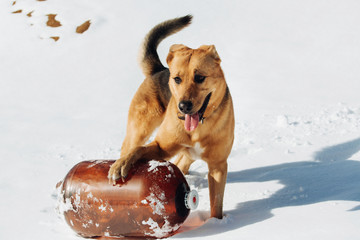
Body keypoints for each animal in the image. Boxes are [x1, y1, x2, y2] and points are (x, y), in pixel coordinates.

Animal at [108, 15, 235, 219]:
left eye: (200, 77)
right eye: (177, 79)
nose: (183, 106)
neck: (198, 130)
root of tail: (159, 69)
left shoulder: (218, 165)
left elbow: (216, 204)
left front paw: (217, 222)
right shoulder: (161, 148)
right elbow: (138, 151)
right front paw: (121, 166)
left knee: (182, 162)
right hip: (138, 130)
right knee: (131, 146)